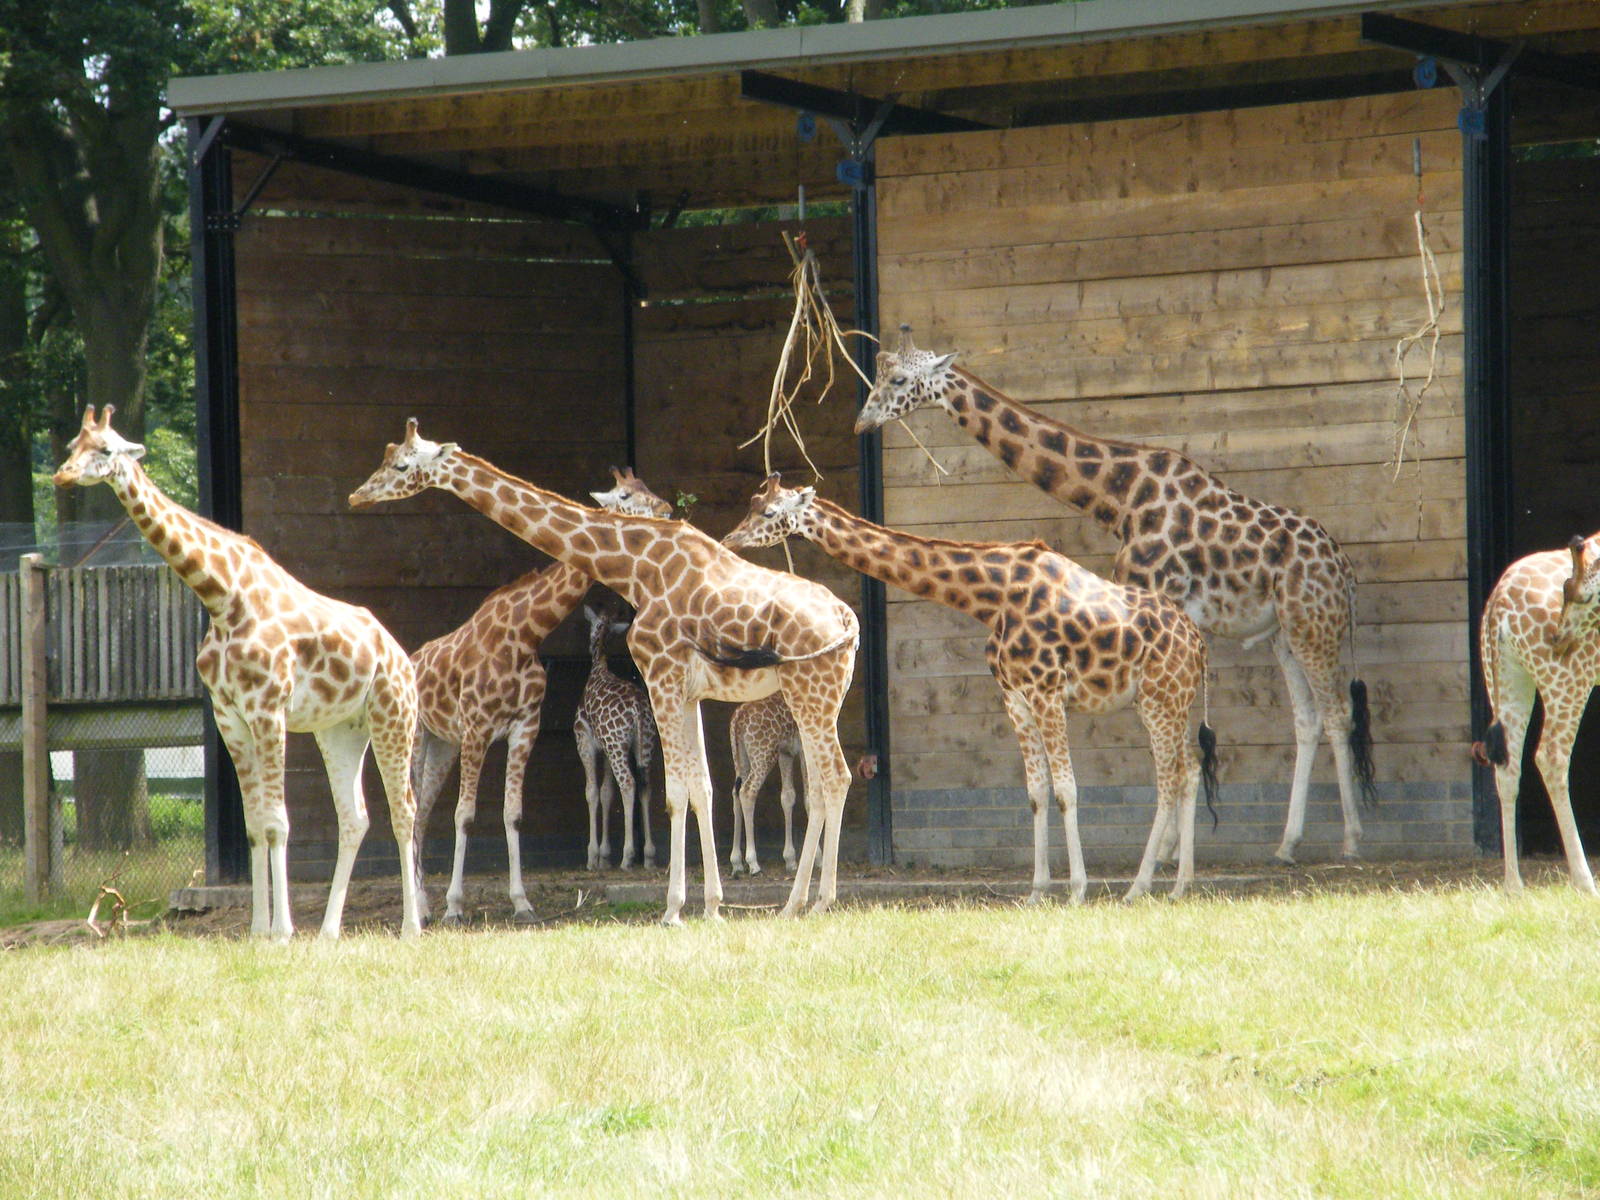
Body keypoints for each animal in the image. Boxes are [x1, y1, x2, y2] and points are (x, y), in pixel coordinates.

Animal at [53, 407, 421, 940]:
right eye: (70, 447)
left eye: (105, 449)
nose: (61, 477)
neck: (222, 598)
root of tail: (400, 654)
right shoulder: (230, 716)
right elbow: (254, 825)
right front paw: (257, 930)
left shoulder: (269, 710)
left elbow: (278, 822)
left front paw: (282, 930)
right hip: (341, 730)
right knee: (355, 817)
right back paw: (329, 931)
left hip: (394, 716)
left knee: (404, 809)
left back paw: (412, 927)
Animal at [575, 601, 659, 872]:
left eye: (592, 624)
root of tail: (637, 709)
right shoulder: (606, 749)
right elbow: (606, 793)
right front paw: (604, 855)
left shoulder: (586, 743)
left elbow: (592, 791)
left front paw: (593, 857)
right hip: (643, 745)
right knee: (645, 785)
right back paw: (649, 855)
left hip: (618, 747)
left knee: (629, 784)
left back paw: (628, 855)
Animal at [728, 693, 805, 877]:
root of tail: (738, 718)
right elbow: (811, 797)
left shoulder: (786, 752)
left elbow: (788, 796)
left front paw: (791, 860)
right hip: (763, 755)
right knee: (747, 792)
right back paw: (753, 863)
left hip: (740, 758)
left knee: (735, 792)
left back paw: (736, 863)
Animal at [856, 326, 1376, 866]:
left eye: (898, 379)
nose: (862, 422)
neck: (1119, 497)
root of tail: (1344, 570)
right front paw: (1171, 849)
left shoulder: (1152, 602)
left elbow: (1166, 747)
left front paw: (1166, 851)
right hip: (1282, 633)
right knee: (1307, 719)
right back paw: (1287, 842)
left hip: (1313, 625)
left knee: (1337, 712)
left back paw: (1351, 838)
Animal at [1473, 533, 1600, 895]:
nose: (1559, 637)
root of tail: (1498, 603)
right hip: (1567, 681)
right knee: (1550, 755)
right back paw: (1585, 882)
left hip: (1506, 678)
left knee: (1507, 766)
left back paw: (1513, 885)